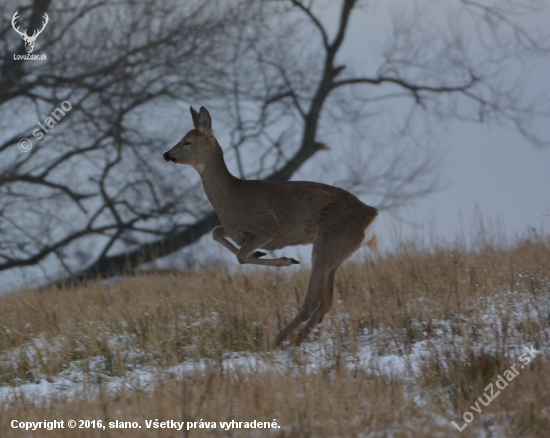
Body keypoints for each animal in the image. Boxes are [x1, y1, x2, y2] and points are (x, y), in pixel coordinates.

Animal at [164, 107, 380, 346]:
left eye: (187, 141)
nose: (166, 154)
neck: (230, 196)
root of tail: (371, 214)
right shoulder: (233, 229)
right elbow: (216, 233)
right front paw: (263, 254)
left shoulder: (267, 226)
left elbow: (240, 255)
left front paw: (285, 259)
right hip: (337, 252)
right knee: (326, 302)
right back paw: (295, 341)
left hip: (329, 243)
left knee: (312, 301)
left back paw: (277, 341)